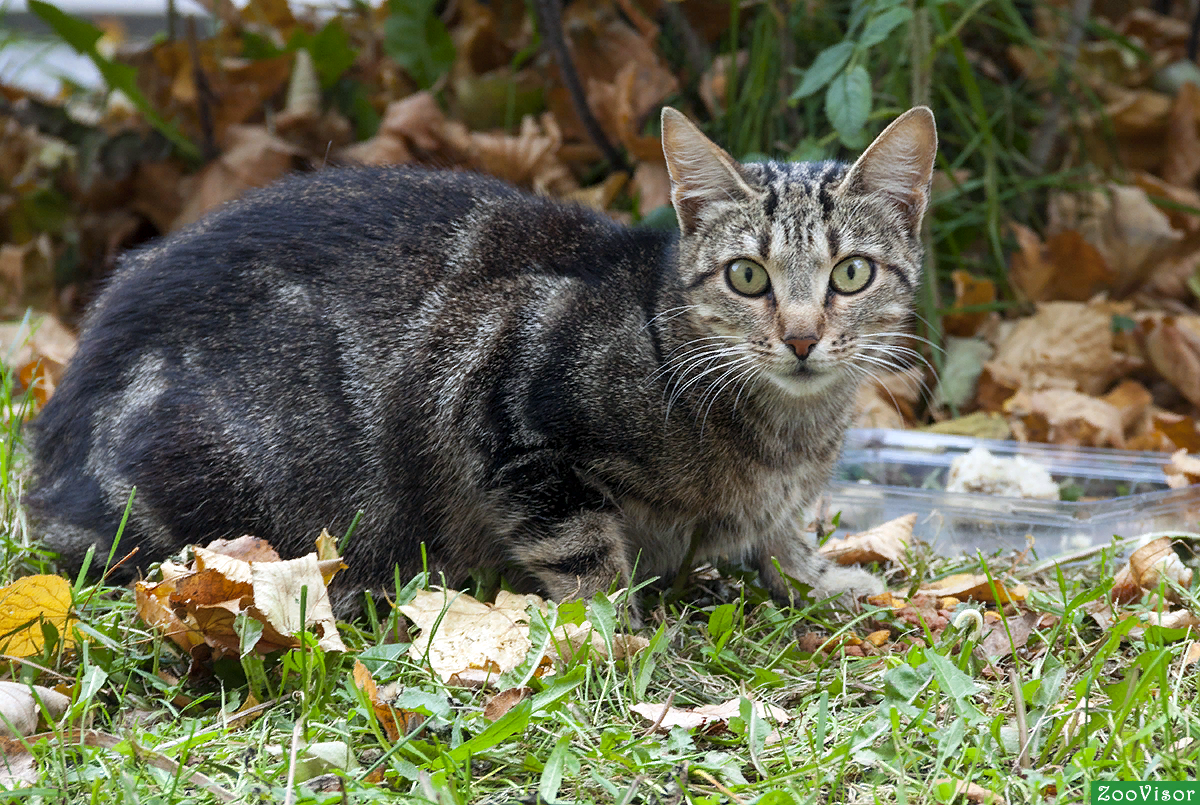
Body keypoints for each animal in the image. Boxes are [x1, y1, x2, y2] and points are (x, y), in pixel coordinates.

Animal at [21, 103, 936, 614]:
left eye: (851, 273)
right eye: (748, 276)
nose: (802, 335)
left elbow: (783, 540)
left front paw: (819, 579)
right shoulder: (510, 412)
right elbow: (585, 552)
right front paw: (617, 639)